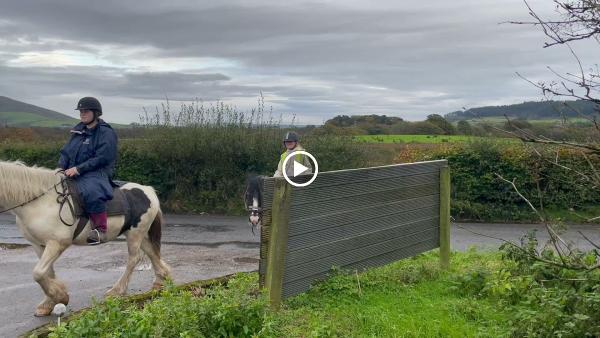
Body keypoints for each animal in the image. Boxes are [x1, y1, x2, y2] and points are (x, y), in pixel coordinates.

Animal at [0, 161, 171, 316]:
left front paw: (61, 297)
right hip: (139, 234)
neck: (40, 202)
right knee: (152, 252)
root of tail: (147, 190)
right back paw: (160, 281)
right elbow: (47, 273)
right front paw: (48, 303)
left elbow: (38, 273)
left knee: (133, 259)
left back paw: (116, 291)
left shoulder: (57, 243)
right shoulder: (38, 245)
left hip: (135, 234)